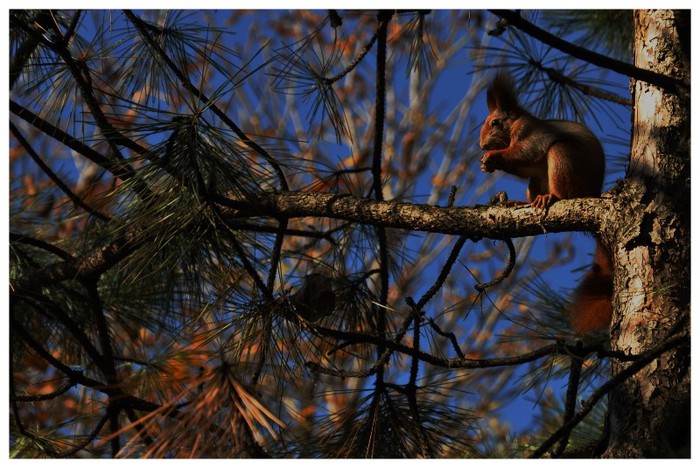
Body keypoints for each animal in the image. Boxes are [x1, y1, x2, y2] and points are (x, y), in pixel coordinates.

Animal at [478, 74, 608, 332]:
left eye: (495, 122)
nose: (482, 145)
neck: (515, 125)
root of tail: (593, 192)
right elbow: (521, 165)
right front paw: (487, 164)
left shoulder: (532, 133)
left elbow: (524, 152)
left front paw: (493, 156)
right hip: (534, 183)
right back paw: (517, 202)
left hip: (563, 157)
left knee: (565, 190)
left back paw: (552, 197)